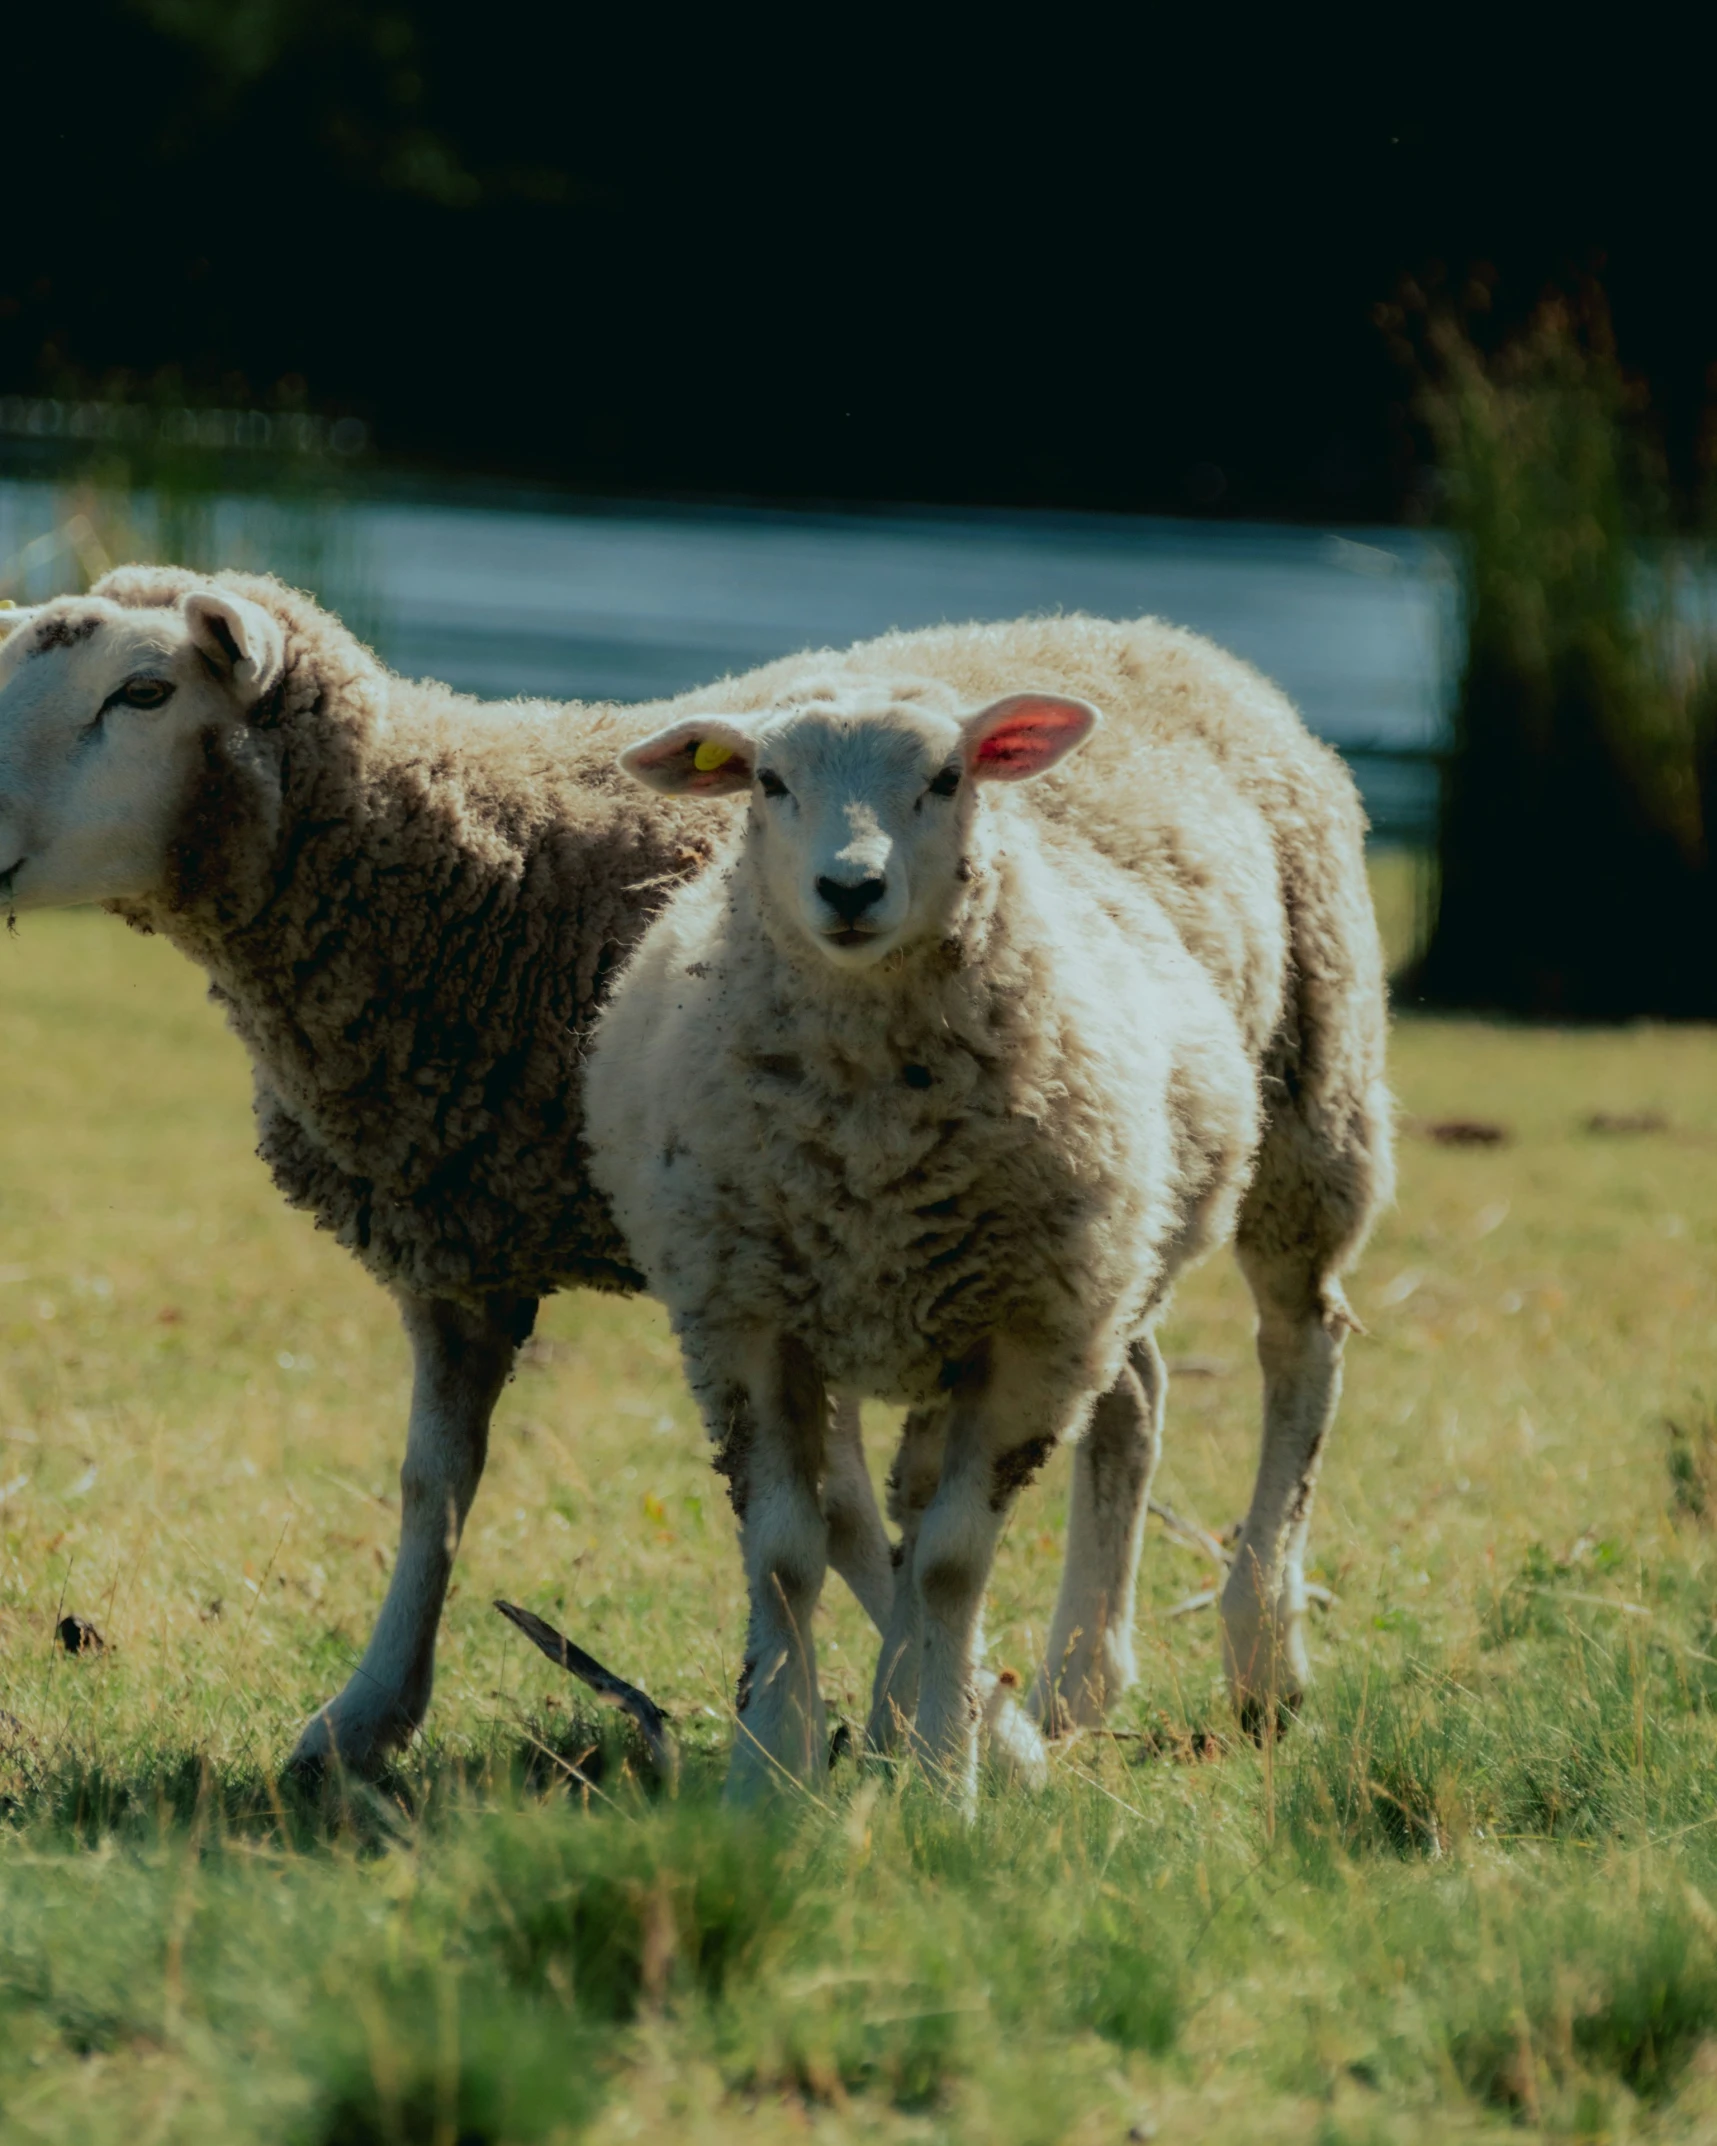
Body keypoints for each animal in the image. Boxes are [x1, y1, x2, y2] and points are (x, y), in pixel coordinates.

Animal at [0, 562, 905, 1768]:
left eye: (144, 692)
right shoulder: (455, 1240)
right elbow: (432, 1482)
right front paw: (363, 1716)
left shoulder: (764, 1229)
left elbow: (830, 1503)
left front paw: (936, 1718)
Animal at [588, 613, 1390, 1802]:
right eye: (770, 781)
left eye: (946, 776)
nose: (851, 888)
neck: (872, 1123)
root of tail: (1141, 630)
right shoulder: (744, 1318)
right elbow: (787, 1554)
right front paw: (774, 1771)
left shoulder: (1028, 1338)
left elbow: (952, 1561)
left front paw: (938, 1774)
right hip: (1095, 1254)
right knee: (1134, 1396)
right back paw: (1071, 1683)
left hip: (1306, 1115)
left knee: (1303, 1353)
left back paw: (1259, 1654)